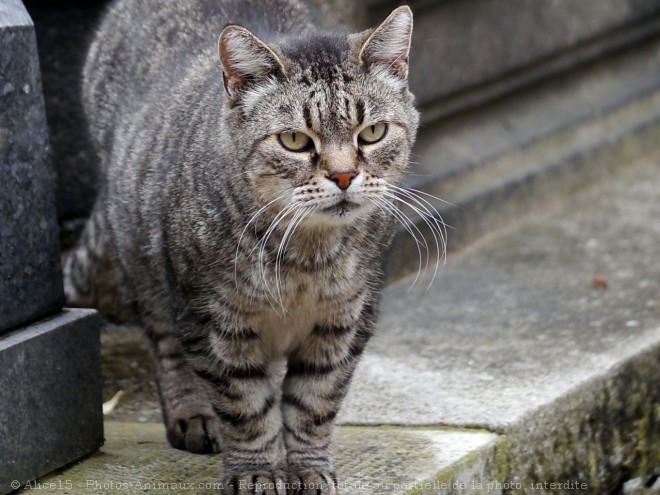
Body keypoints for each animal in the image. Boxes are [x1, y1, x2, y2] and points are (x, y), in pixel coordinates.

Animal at [65, 1, 422, 494]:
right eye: (295, 140)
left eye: (372, 133)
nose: (344, 175)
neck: (304, 260)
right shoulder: (217, 323)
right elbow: (247, 407)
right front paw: (258, 470)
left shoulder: (345, 321)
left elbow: (314, 403)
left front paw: (308, 468)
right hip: (148, 262)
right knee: (164, 342)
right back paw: (192, 415)